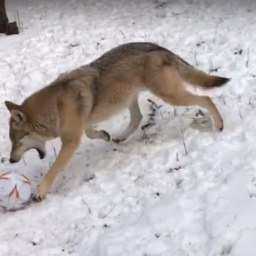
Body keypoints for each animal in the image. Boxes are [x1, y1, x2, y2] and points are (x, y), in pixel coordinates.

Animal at [4, 42, 229, 200]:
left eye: (17, 141)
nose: (12, 160)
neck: (54, 108)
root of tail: (159, 48)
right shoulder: (82, 126)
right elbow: (91, 133)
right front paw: (104, 135)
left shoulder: (71, 142)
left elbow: (54, 169)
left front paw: (40, 191)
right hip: (130, 98)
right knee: (137, 118)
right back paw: (120, 138)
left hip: (170, 96)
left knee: (206, 98)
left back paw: (219, 125)